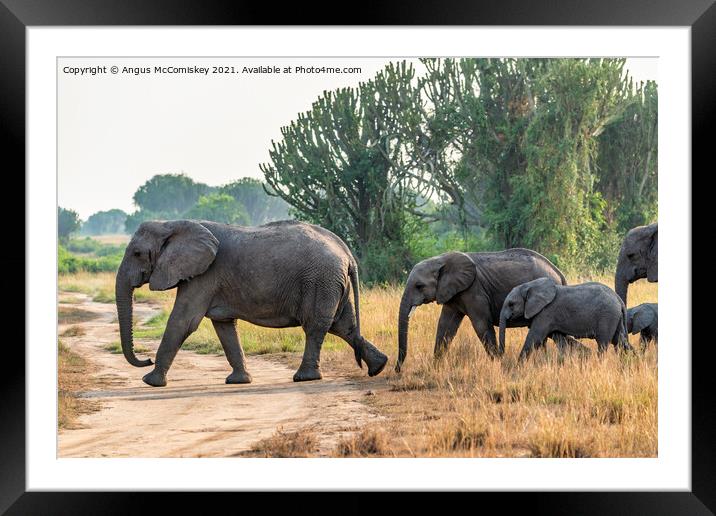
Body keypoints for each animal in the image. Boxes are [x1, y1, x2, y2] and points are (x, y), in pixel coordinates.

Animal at [115, 219, 388, 388]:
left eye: (137, 253)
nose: (146, 359)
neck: (172, 224)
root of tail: (346, 251)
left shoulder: (204, 276)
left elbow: (183, 321)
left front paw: (149, 381)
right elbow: (224, 326)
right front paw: (239, 381)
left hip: (320, 280)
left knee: (316, 326)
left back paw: (304, 378)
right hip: (331, 282)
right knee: (343, 325)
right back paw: (378, 367)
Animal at [398, 248, 588, 368]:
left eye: (419, 286)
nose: (398, 369)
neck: (440, 259)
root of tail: (559, 273)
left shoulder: (474, 290)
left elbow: (481, 324)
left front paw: (498, 363)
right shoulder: (452, 293)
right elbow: (446, 325)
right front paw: (435, 366)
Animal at [498, 278, 632, 358]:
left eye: (511, 304)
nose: (501, 356)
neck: (530, 285)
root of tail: (618, 299)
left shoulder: (546, 312)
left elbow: (534, 337)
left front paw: (518, 366)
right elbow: (559, 338)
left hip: (607, 316)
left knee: (603, 344)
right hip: (615, 317)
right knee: (620, 340)